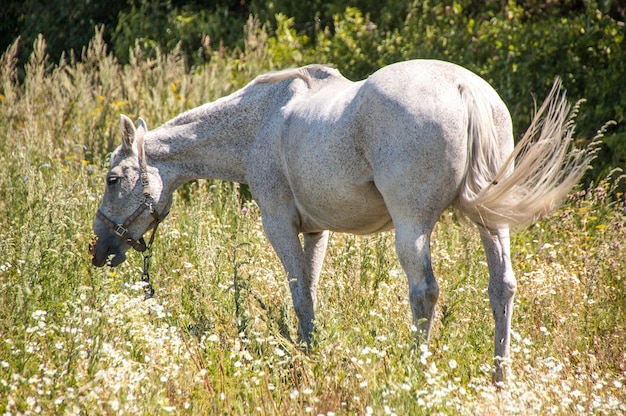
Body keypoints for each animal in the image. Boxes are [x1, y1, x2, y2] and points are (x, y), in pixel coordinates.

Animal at [90, 60, 592, 382]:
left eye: (113, 179)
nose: (99, 251)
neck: (260, 124)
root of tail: (463, 89)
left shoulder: (278, 224)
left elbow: (298, 295)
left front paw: (302, 362)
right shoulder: (316, 231)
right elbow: (310, 293)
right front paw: (311, 354)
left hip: (413, 226)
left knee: (424, 292)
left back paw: (418, 375)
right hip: (493, 225)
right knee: (501, 287)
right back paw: (499, 378)